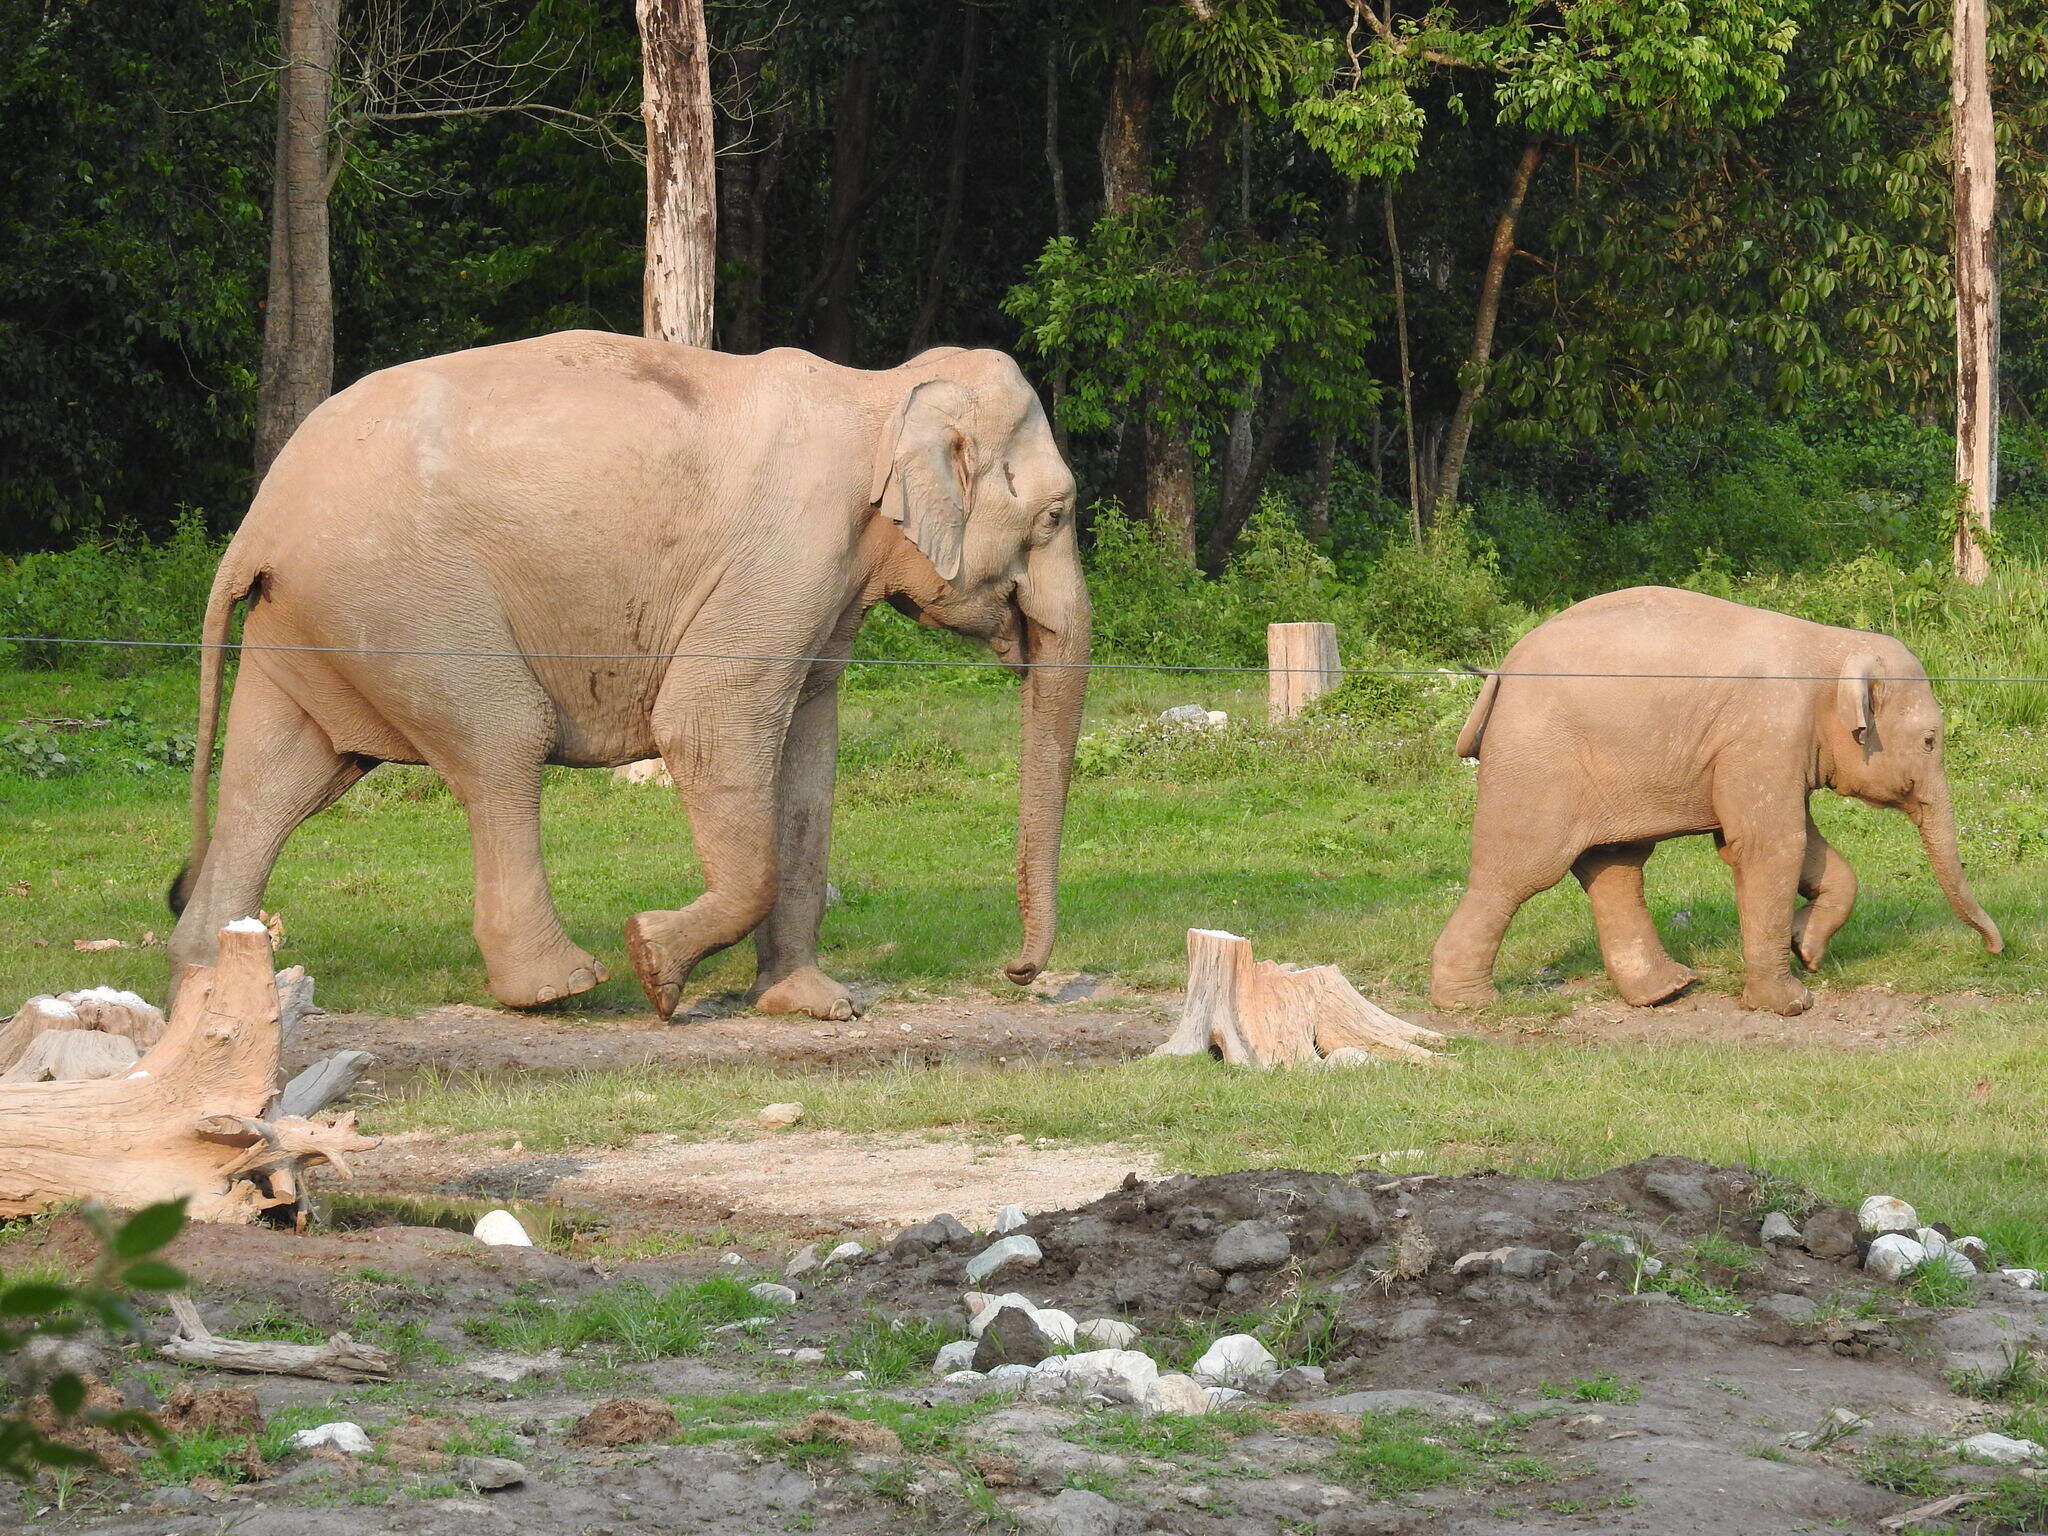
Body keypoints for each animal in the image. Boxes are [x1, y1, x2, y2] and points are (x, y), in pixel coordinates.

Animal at [169, 333, 1097, 1024]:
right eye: (1056, 515)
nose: (1018, 974)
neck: (884, 392)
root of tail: (257, 525)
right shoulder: (789, 553)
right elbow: (706, 721)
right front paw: (654, 967)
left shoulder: (825, 586)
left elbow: (807, 746)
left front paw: (811, 1003)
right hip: (404, 600)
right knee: (502, 742)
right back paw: (561, 988)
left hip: (311, 618)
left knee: (281, 780)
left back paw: (206, 980)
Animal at [1425, 593, 1998, 1015]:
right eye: (1930, 742)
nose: (1996, 951)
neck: (1829, 646)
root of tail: (1502, 671)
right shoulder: (1764, 735)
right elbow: (1770, 845)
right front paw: (1790, 1003)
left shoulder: (1775, 750)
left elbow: (1800, 845)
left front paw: (1805, 946)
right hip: (1536, 763)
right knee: (1519, 872)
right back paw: (1469, 1005)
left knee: (1616, 867)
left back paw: (1667, 992)